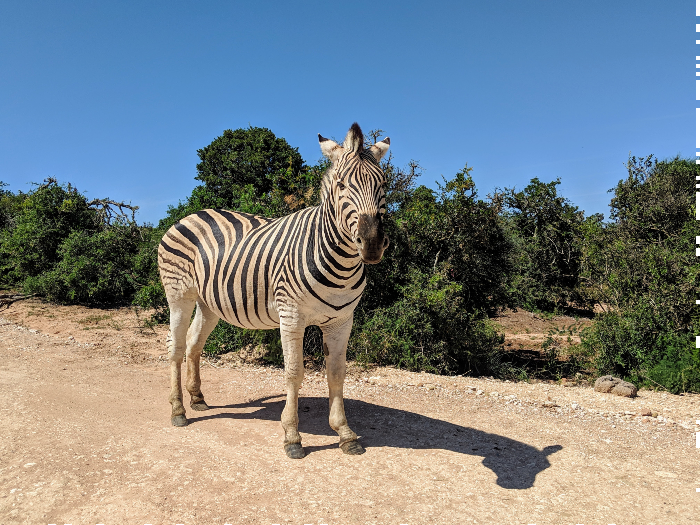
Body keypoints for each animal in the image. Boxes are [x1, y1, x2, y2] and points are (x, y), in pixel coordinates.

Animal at [158, 123, 390, 459]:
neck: (338, 260)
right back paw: (178, 410)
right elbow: (294, 373)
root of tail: (192, 213)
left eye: (383, 184)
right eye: (341, 184)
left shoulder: (341, 321)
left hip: (209, 303)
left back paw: (197, 399)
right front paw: (292, 437)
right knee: (175, 347)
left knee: (193, 344)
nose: (371, 244)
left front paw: (345, 434)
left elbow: (336, 373)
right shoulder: (291, 316)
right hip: (179, 295)